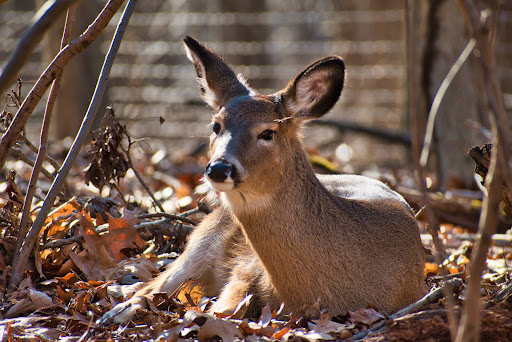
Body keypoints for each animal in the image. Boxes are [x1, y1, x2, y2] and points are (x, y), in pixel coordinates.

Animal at [101, 36, 428, 324]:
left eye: (267, 132)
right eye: (216, 125)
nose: (219, 168)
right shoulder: (243, 274)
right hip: (202, 238)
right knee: (152, 286)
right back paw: (114, 312)